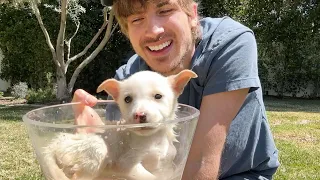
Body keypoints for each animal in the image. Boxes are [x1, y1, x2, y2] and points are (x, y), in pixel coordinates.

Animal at [42, 69, 198, 180]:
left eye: (158, 96)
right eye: (127, 99)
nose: (139, 115)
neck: (153, 139)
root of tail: (52, 146)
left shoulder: (165, 165)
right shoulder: (127, 164)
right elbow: (150, 177)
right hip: (95, 149)